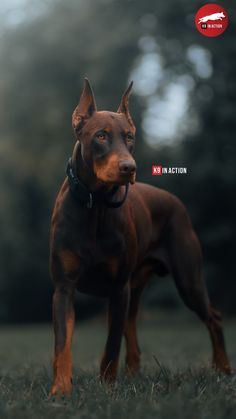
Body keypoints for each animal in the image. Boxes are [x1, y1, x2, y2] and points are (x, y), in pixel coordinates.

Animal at [48, 79, 231, 398]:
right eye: (100, 135)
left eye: (130, 137)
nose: (128, 167)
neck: (95, 206)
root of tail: (175, 201)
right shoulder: (64, 287)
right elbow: (63, 343)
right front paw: (61, 388)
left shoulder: (118, 288)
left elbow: (111, 345)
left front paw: (107, 386)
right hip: (138, 285)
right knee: (131, 325)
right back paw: (133, 372)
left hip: (187, 279)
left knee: (213, 317)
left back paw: (223, 369)